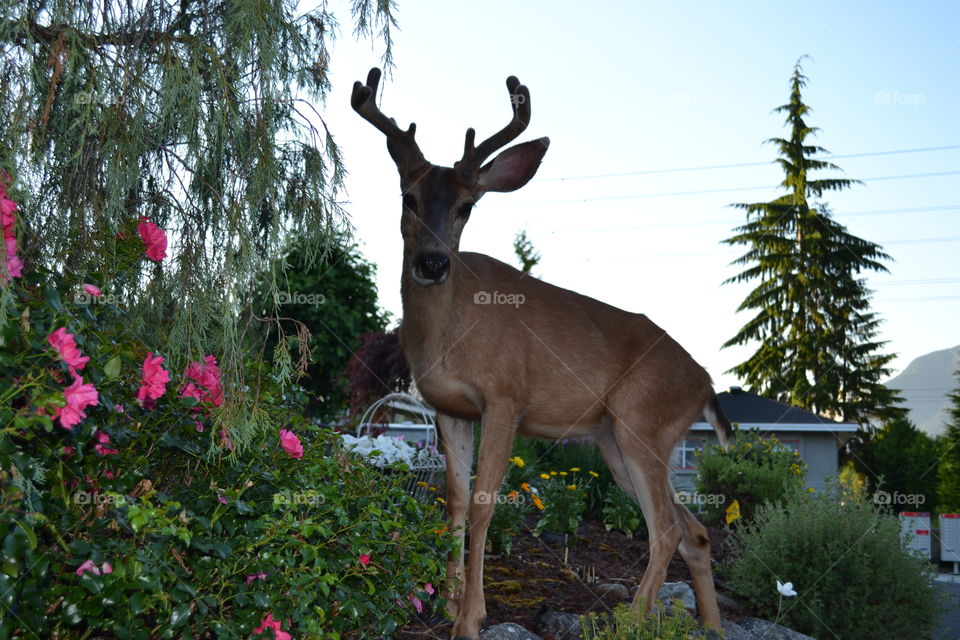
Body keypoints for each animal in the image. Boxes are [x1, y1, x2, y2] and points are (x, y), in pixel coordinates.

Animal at [352, 65, 736, 636]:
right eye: (408, 198)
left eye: (467, 206)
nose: (433, 263)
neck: (449, 331)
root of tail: (707, 381)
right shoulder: (448, 406)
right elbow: (455, 501)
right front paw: (446, 601)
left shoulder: (506, 397)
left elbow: (485, 504)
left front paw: (470, 617)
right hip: (617, 440)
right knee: (695, 530)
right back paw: (708, 625)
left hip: (641, 422)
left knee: (667, 528)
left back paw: (630, 618)